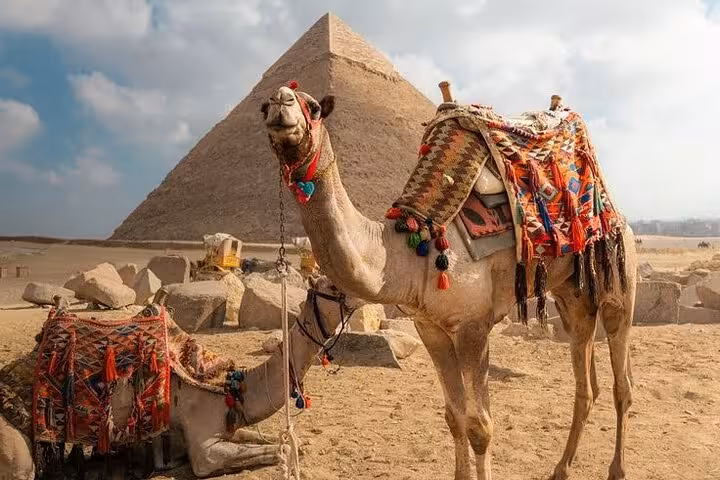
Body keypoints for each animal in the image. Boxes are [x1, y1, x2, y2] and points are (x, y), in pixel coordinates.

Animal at [0, 275, 360, 479]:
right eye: (332, 285)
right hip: (18, 457)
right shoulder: (204, 448)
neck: (229, 384)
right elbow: (280, 451)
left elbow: (277, 441)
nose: (359, 292)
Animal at [261, 85, 637, 480]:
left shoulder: (473, 326)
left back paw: (616, 469)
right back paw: (560, 469)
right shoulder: (430, 327)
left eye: (314, 108)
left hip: (619, 281)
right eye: (263, 108)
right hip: (572, 298)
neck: (407, 251)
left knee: (621, 384)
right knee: (587, 385)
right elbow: (454, 417)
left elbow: (480, 426)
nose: (281, 104)